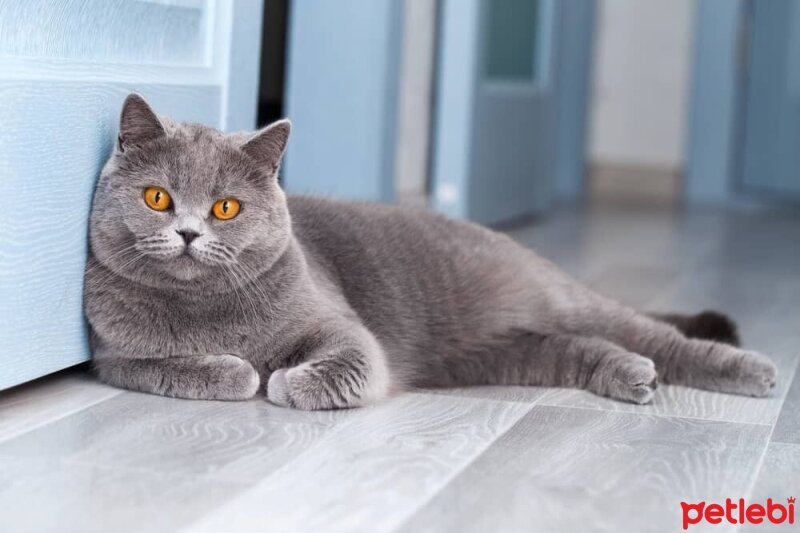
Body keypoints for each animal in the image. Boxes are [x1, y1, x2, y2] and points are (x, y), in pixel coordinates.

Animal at [84, 95, 780, 410]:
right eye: (157, 198)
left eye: (226, 207)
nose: (189, 233)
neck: (207, 311)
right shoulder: (113, 357)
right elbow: (171, 368)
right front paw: (239, 371)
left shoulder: (342, 328)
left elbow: (345, 362)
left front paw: (284, 379)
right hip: (502, 354)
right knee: (581, 348)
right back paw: (633, 376)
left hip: (561, 301)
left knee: (656, 336)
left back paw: (753, 372)